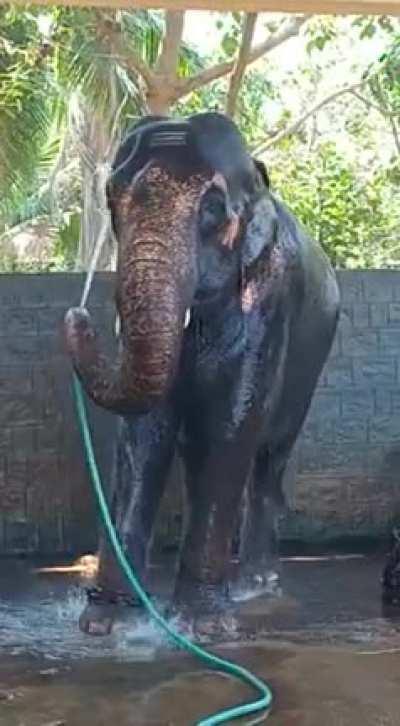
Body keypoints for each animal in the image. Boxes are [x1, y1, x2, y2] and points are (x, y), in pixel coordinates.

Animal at [64, 112, 340, 636]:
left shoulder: (266, 298)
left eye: (212, 210)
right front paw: (105, 622)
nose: (78, 316)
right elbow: (144, 434)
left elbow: (232, 422)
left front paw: (203, 626)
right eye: (112, 198)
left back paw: (257, 586)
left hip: (314, 359)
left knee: (270, 459)